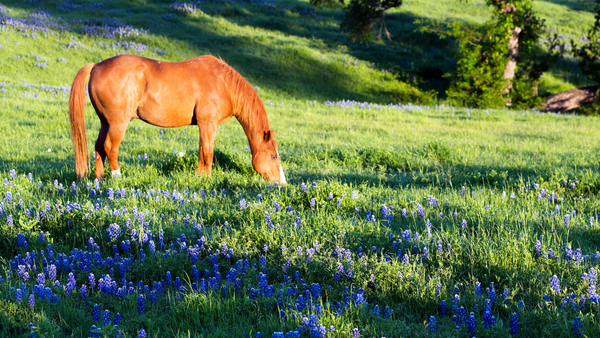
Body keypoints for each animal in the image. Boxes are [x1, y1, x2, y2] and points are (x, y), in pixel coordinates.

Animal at [68, 54, 288, 184]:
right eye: (273, 156)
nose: (282, 182)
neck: (223, 83)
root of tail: (97, 66)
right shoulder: (208, 123)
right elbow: (208, 153)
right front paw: (208, 179)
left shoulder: (204, 126)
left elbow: (201, 152)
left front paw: (199, 177)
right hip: (117, 124)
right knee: (109, 148)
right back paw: (117, 177)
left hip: (105, 123)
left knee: (98, 148)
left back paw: (99, 180)